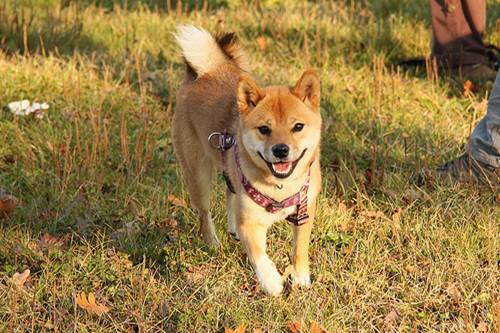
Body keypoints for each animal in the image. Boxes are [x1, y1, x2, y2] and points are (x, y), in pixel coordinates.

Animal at [172, 26, 320, 296]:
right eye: (264, 129)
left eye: (298, 127)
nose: (281, 150)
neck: (280, 188)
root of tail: (206, 70)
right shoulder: (251, 222)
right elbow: (259, 255)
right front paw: (271, 280)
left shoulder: (305, 210)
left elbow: (300, 247)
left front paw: (301, 276)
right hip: (197, 175)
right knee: (205, 212)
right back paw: (212, 243)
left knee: (230, 191)